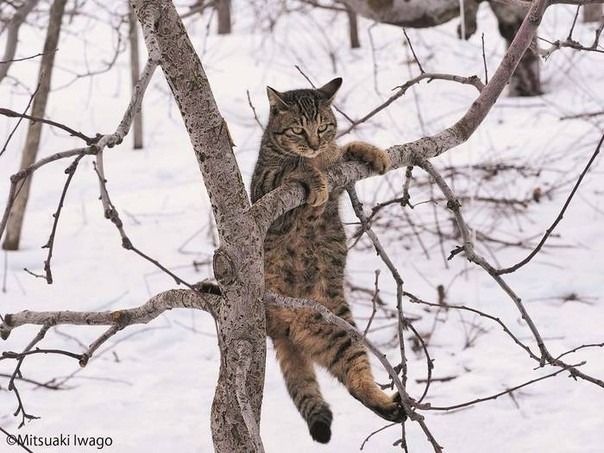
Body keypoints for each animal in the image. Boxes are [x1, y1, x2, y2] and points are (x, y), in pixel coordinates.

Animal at [250, 77, 406, 442]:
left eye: (322, 126)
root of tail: (280, 328)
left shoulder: (336, 167)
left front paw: (371, 152)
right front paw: (311, 173)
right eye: (297, 129)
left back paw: (388, 406)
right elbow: (292, 167)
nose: (313, 143)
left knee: (356, 377)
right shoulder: (263, 187)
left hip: (341, 333)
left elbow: (344, 148)